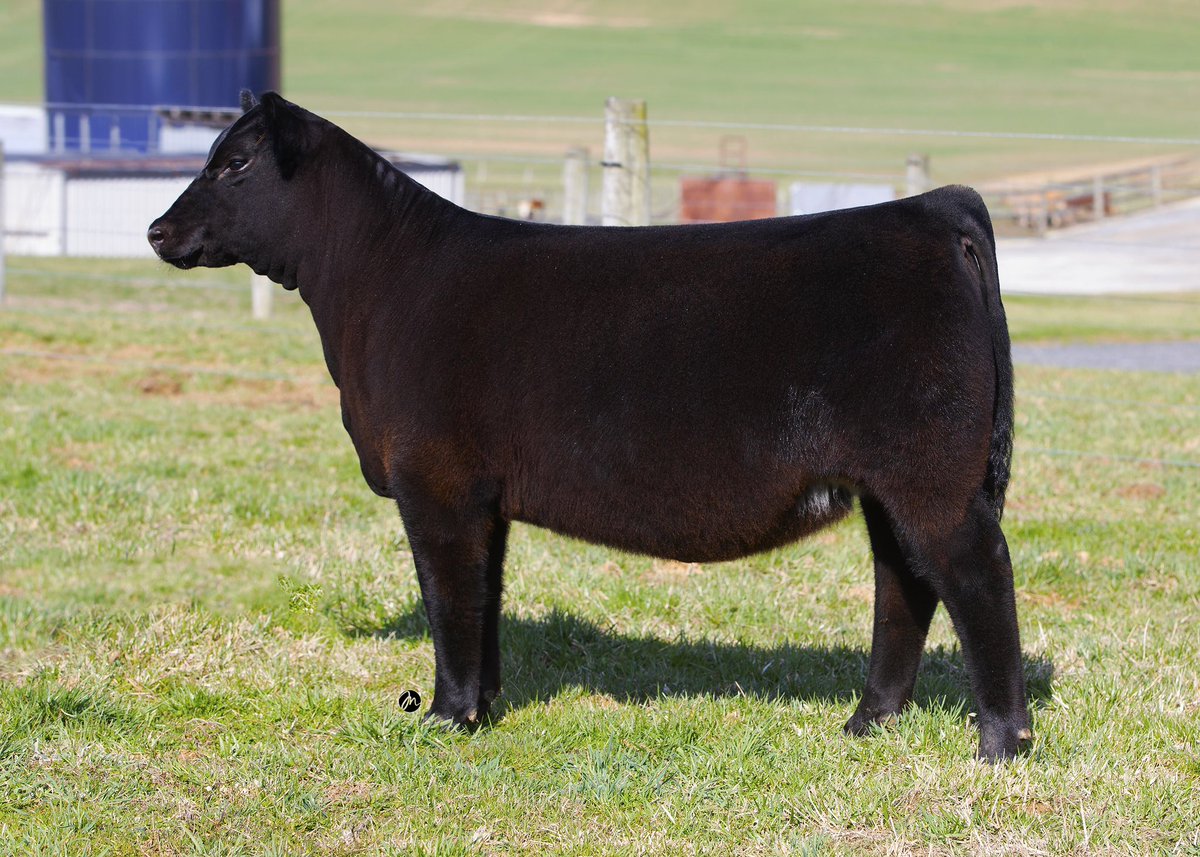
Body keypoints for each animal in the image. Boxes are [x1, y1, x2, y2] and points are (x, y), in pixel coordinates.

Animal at [148, 91, 1032, 760]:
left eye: (234, 163)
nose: (158, 230)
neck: (377, 281)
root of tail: (932, 210)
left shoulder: (434, 481)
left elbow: (448, 598)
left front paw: (446, 716)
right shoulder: (485, 496)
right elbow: (484, 597)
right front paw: (486, 703)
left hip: (930, 477)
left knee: (977, 574)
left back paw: (1001, 741)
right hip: (889, 485)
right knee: (903, 583)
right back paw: (866, 720)